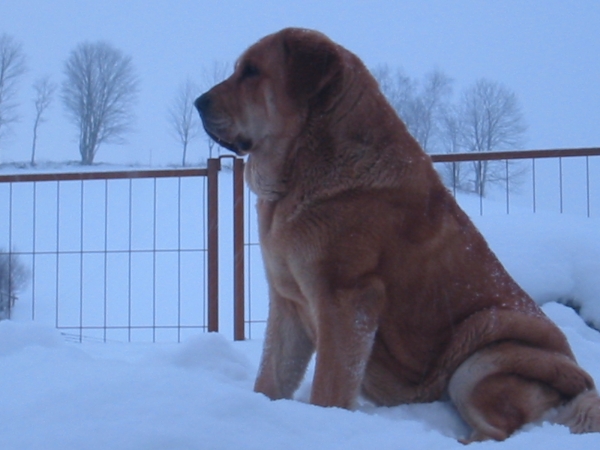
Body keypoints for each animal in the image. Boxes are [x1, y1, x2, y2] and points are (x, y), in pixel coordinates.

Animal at [195, 27, 596, 440]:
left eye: (251, 72)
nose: (197, 103)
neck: (304, 167)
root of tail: (580, 384)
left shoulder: (346, 298)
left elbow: (329, 388)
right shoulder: (288, 301)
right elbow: (271, 377)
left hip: (482, 353)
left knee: (500, 428)